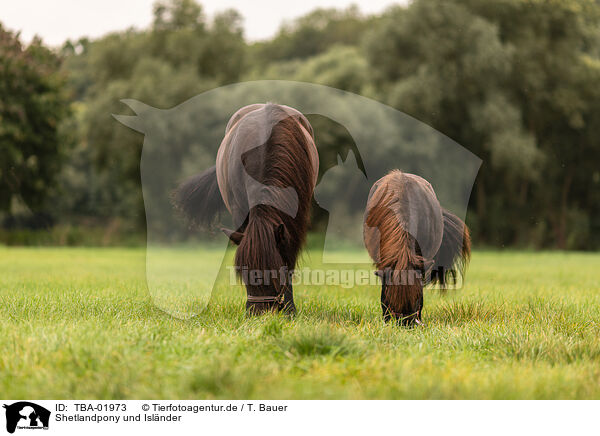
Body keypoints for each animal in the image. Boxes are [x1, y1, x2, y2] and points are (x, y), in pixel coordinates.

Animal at [172, 104, 318, 316]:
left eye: (274, 272)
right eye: (243, 272)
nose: (258, 313)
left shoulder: (296, 218)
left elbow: (290, 259)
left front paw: (290, 309)